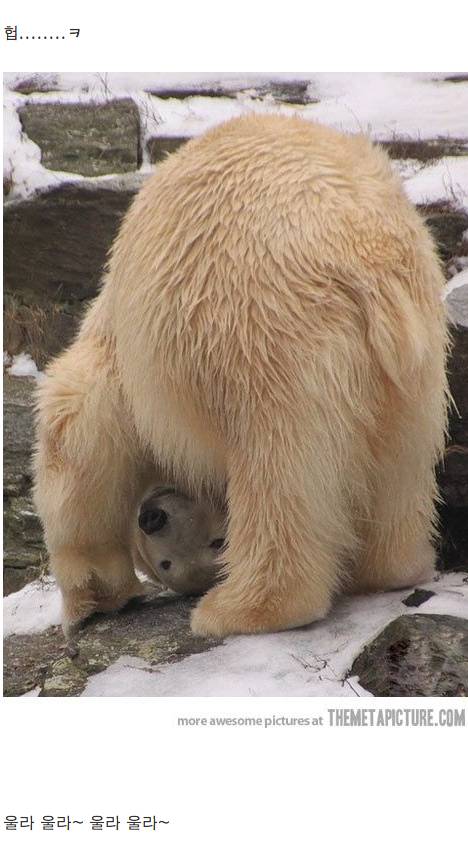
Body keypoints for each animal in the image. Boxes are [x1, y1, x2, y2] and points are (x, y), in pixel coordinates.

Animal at [33, 116, 450, 640]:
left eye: (211, 544)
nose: (153, 518)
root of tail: (367, 260)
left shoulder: (125, 357)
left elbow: (79, 437)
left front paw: (91, 598)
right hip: (414, 359)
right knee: (402, 460)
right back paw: (392, 567)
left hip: (261, 328)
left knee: (279, 461)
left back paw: (241, 609)